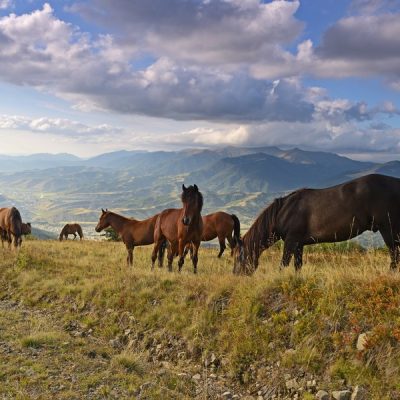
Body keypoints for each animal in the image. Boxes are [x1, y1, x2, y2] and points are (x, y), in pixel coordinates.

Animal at [233, 173, 400, 274]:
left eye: (238, 256)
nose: (235, 274)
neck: (284, 211)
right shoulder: (298, 244)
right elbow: (297, 266)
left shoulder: (291, 241)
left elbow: (283, 264)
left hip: (388, 229)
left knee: (394, 254)